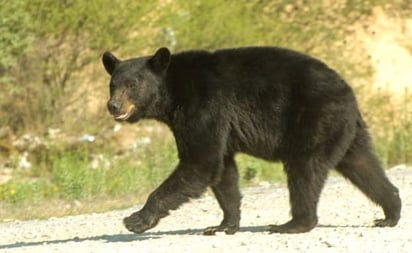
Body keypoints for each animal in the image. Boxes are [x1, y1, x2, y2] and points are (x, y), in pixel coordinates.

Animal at [101, 46, 400, 234]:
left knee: (305, 169)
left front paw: (136, 220)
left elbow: (200, 162)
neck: (173, 93)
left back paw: (292, 224)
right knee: (362, 164)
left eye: (132, 84)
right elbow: (222, 170)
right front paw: (224, 225)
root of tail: (350, 93)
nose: (113, 106)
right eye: (113, 84)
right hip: (344, 130)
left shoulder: (204, 106)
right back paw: (390, 212)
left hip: (315, 118)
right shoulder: (212, 122)